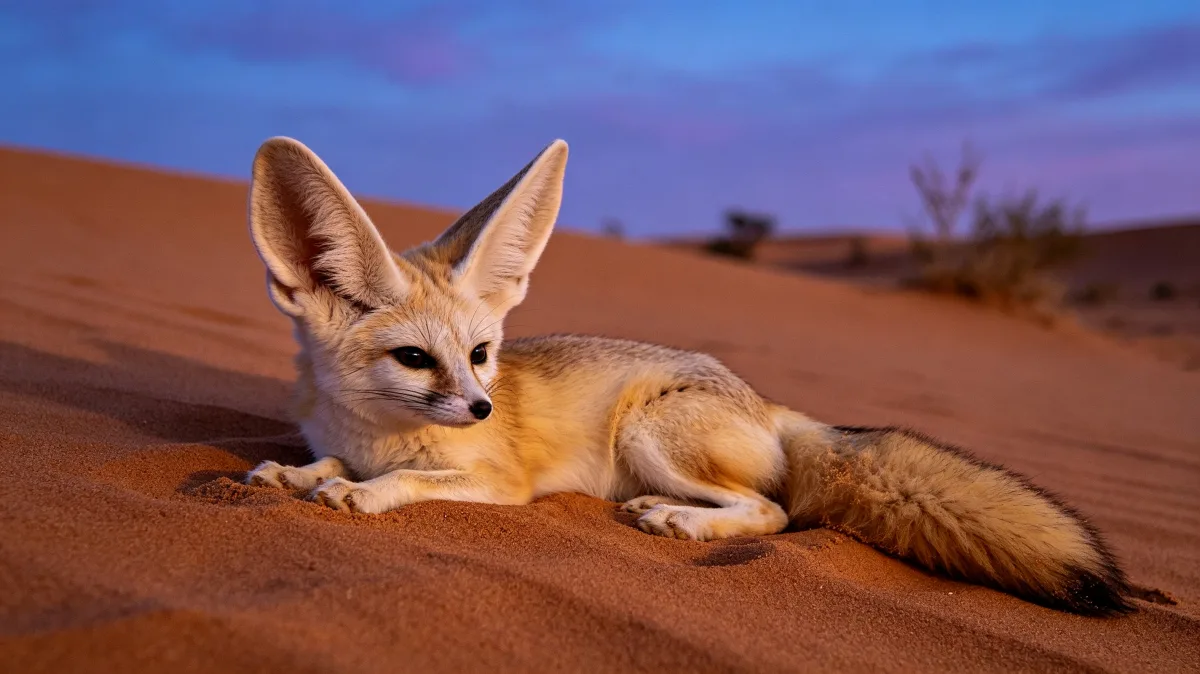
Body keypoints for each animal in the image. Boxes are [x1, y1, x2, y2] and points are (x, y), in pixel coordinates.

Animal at [242, 136, 1132, 617]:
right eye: (416, 359)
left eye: (482, 352)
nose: (483, 406)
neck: (381, 430)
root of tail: (770, 402)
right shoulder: (347, 435)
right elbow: (327, 460)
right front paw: (292, 473)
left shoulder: (499, 483)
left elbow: (405, 483)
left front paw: (359, 494)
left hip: (650, 432)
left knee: (773, 512)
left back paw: (682, 522)